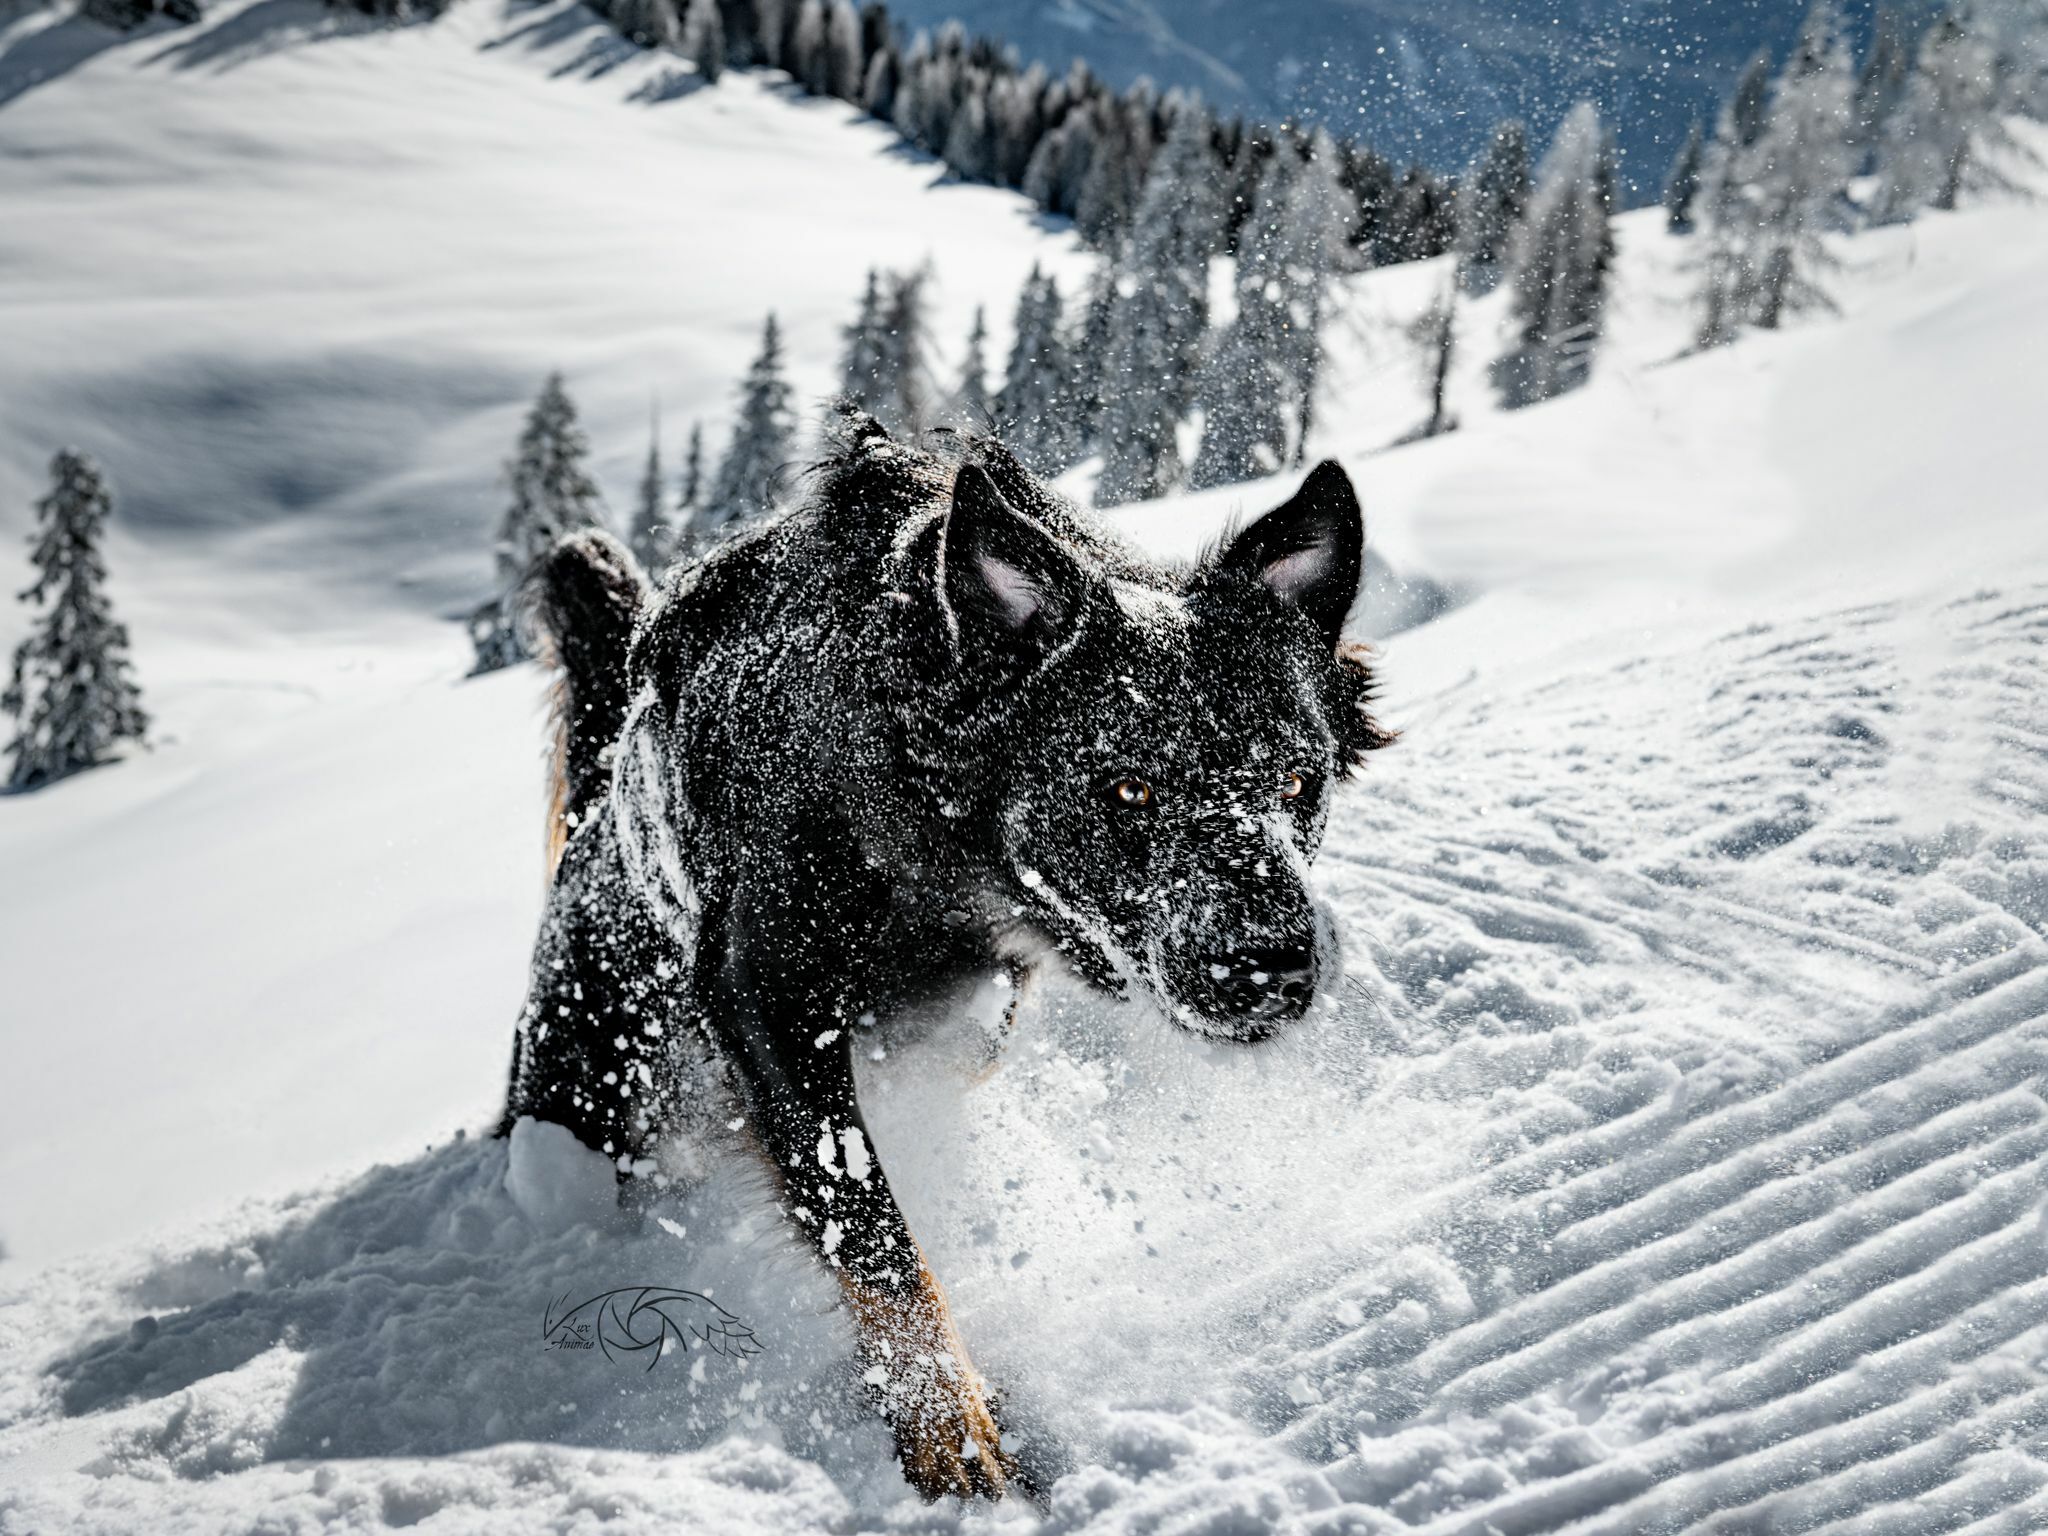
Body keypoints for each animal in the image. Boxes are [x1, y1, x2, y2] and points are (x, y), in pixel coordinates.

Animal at [495, 421, 1392, 1507]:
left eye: (1298, 781)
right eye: (1125, 789)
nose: (1274, 966)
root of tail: (595, 814)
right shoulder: (762, 998)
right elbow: (873, 1234)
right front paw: (952, 1436)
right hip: (584, 1082)